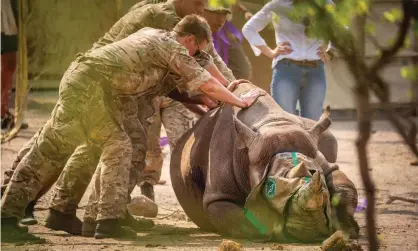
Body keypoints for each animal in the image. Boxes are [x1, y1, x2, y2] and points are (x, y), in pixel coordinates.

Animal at [170, 83, 360, 241]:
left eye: (315, 174)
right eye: (270, 187)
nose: (310, 229)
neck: (272, 122)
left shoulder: (320, 159)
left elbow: (343, 186)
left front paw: (347, 231)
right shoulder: (218, 196)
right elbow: (244, 218)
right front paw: (276, 230)